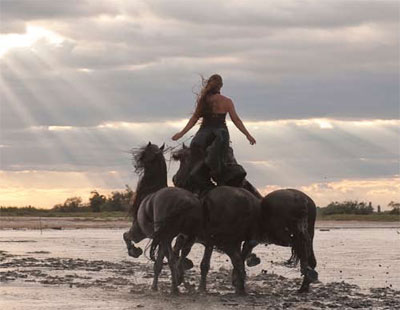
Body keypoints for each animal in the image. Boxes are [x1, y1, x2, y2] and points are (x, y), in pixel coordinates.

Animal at [122, 143, 203, 294]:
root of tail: (186, 200)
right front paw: (155, 286)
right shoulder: (160, 239)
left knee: (172, 258)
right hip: (186, 236)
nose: (137, 164)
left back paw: (175, 288)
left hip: (166, 236)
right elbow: (159, 263)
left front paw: (134, 251)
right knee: (179, 256)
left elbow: (126, 236)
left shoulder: (140, 233)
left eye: (144, 153)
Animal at [172, 145, 318, 294]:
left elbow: (203, 261)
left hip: (286, 236)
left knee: (304, 254)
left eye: (182, 159)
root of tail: (303, 200)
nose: (175, 179)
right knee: (311, 260)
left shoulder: (209, 240)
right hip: (304, 236)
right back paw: (304, 286)